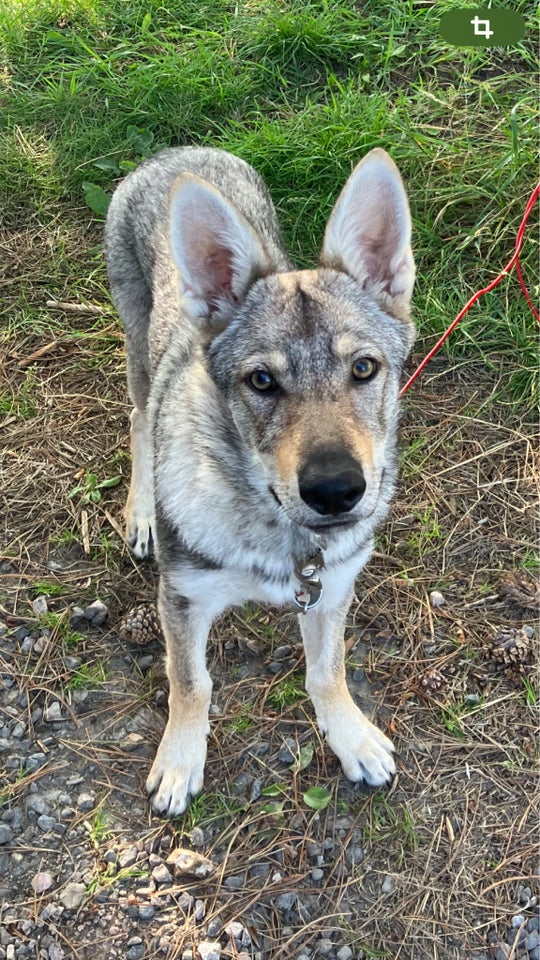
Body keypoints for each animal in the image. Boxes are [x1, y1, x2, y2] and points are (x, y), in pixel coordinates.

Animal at [106, 144, 418, 816]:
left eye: (364, 368)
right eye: (262, 381)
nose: (335, 490)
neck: (281, 536)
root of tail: (178, 151)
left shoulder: (332, 589)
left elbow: (326, 672)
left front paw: (351, 737)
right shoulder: (183, 597)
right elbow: (190, 682)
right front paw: (180, 762)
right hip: (138, 342)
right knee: (141, 417)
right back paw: (142, 513)